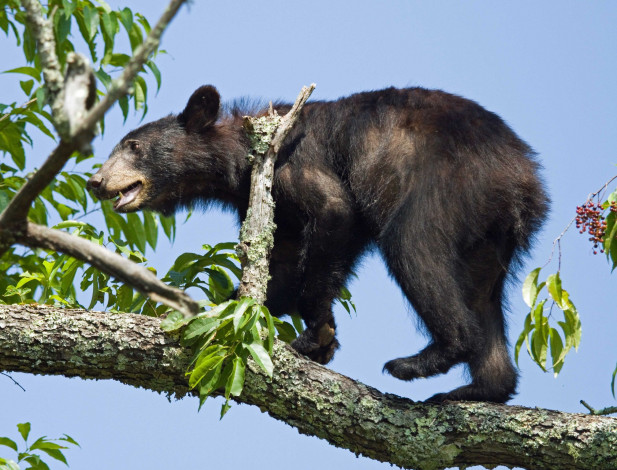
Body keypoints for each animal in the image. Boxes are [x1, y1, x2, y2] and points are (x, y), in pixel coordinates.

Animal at [88, 83, 548, 400]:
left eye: (133, 146)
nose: (95, 180)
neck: (239, 158)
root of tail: (524, 177)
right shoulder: (271, 204)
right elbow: (283, 267)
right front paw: (227, 305)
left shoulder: (291, 161)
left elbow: (333, 210)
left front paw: (317, 335)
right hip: (490, 232)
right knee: (482, 294)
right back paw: (480, 388)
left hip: (451, 181)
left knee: (412, 245)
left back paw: (423, 358)